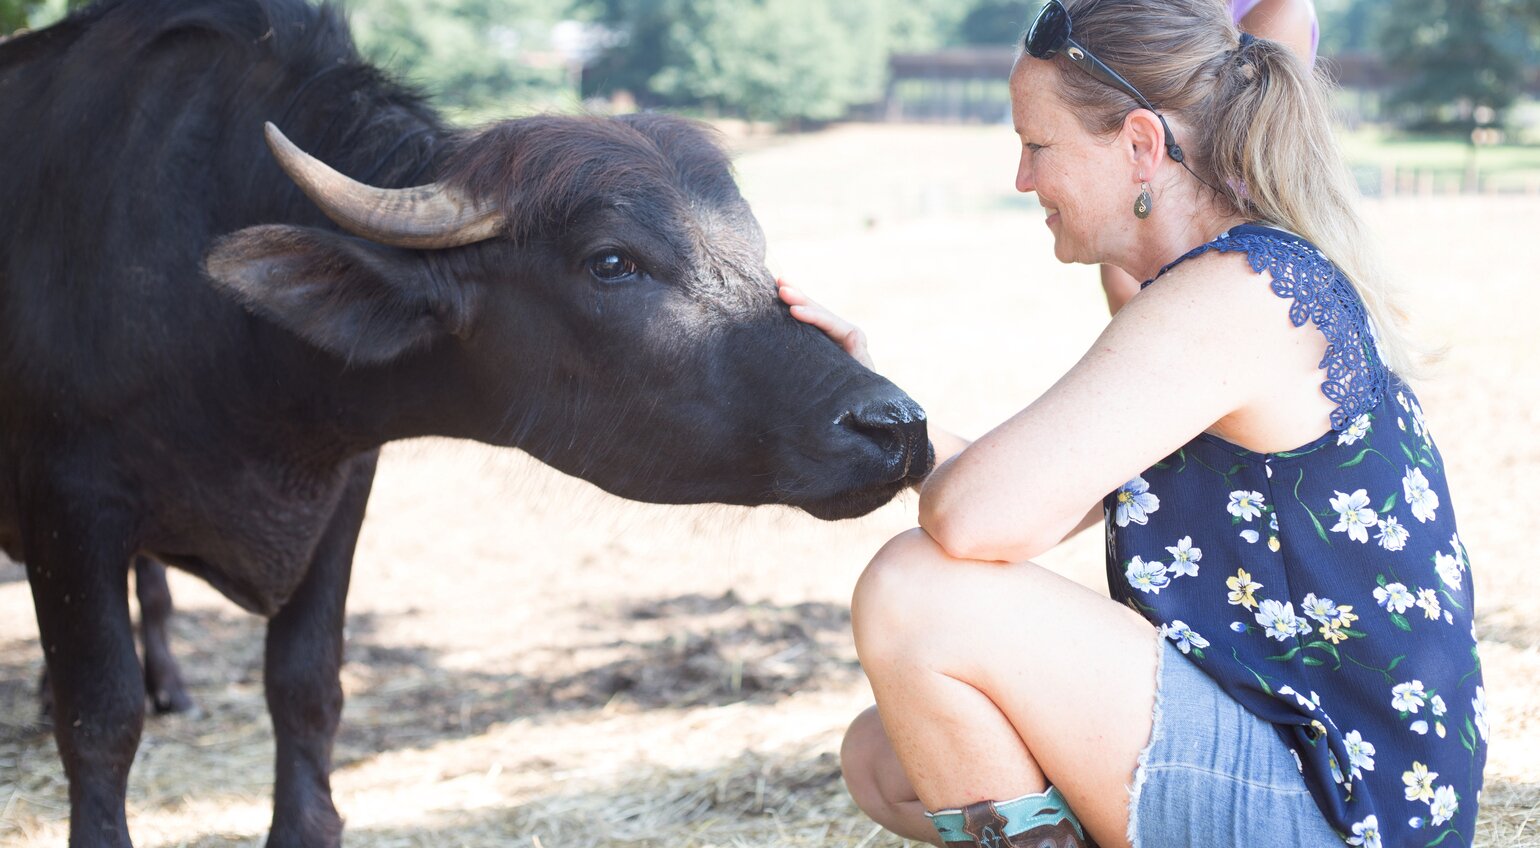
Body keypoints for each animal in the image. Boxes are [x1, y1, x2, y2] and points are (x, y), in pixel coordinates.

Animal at [0, 3, 924, 843]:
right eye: (612, 261)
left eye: (756, 256)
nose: (897, 426)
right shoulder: (71, 509)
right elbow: (101, 715)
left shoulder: (342, 492)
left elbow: (306, 686)